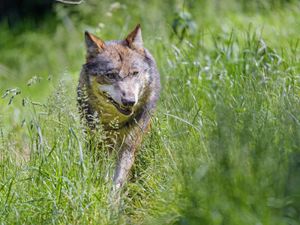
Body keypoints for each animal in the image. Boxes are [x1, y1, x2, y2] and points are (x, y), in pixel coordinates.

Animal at [78, 25, 161, 190]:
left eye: (134, 73)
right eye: (110, 75)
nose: (129, 101)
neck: (114, 121)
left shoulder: (129, 145)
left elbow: (119, 179)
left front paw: (113, 196)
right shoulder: (100, 144)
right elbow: (103, 171)